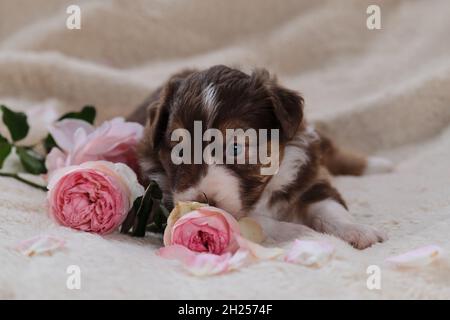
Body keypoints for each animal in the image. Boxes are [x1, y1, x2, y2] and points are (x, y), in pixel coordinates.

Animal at [128, 65, 392, 250]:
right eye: (180, 151)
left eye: (236, 148)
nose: (205, 202)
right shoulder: (162, 201)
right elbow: (259, 222)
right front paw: (303, 232)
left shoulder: (308, 176)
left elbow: (330, 207)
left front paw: (358, 230)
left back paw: (380, 166)